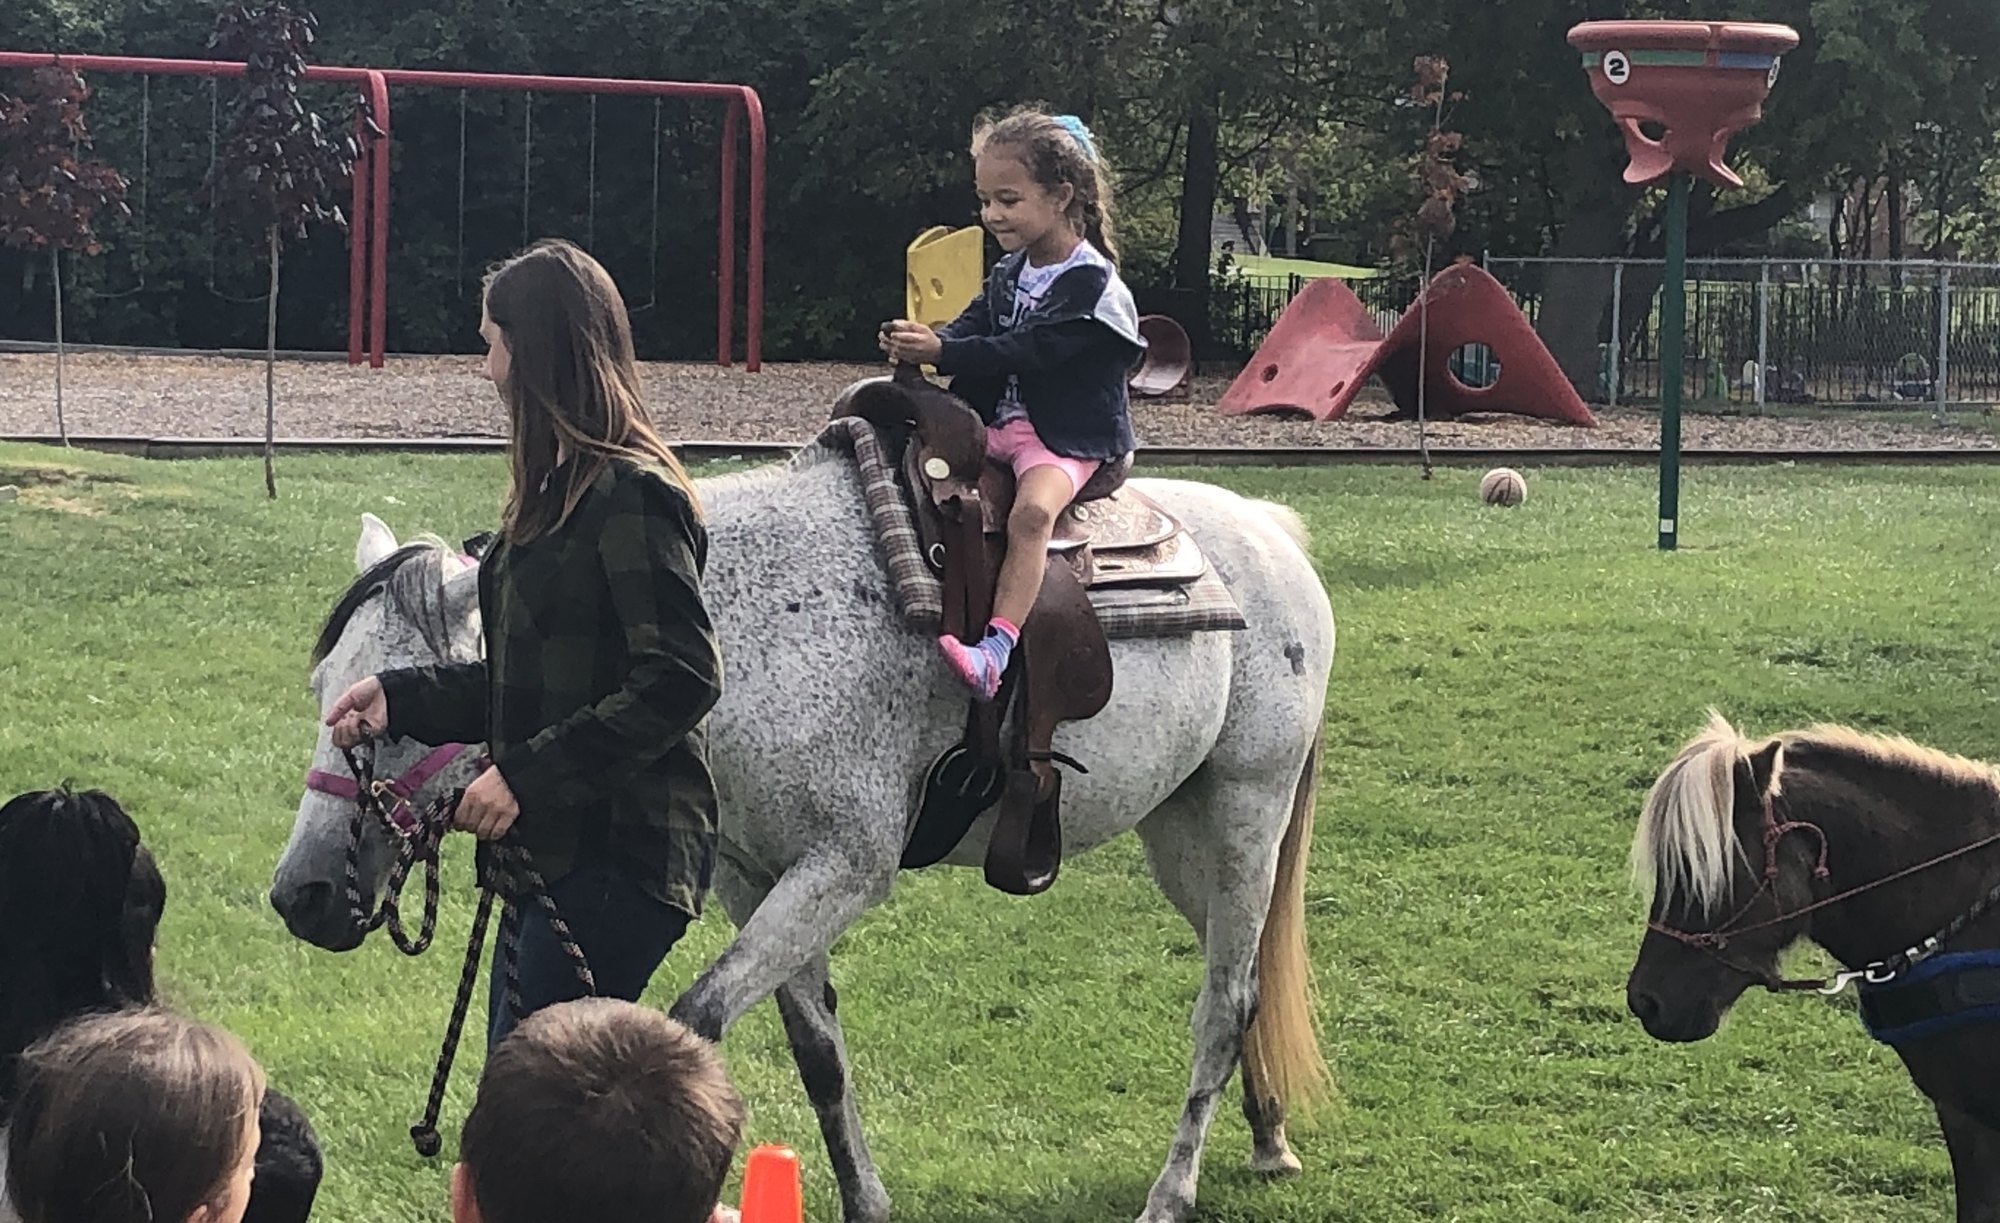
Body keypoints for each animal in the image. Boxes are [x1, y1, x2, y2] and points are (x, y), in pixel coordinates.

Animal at [269, 416, 1336, 1223]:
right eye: (330, 693)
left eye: (390, 725)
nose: (300, 893)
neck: (749, 637)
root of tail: (1272, 532)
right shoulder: (760, 879)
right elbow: (820, 1054)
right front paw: (866, 1200)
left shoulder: (844, 868)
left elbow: (692, 1021)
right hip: (1185, 838)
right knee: (1247, 979)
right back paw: (1271, 1134)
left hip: (1245, 813)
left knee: (1222, 1002)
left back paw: (1172, 1191)